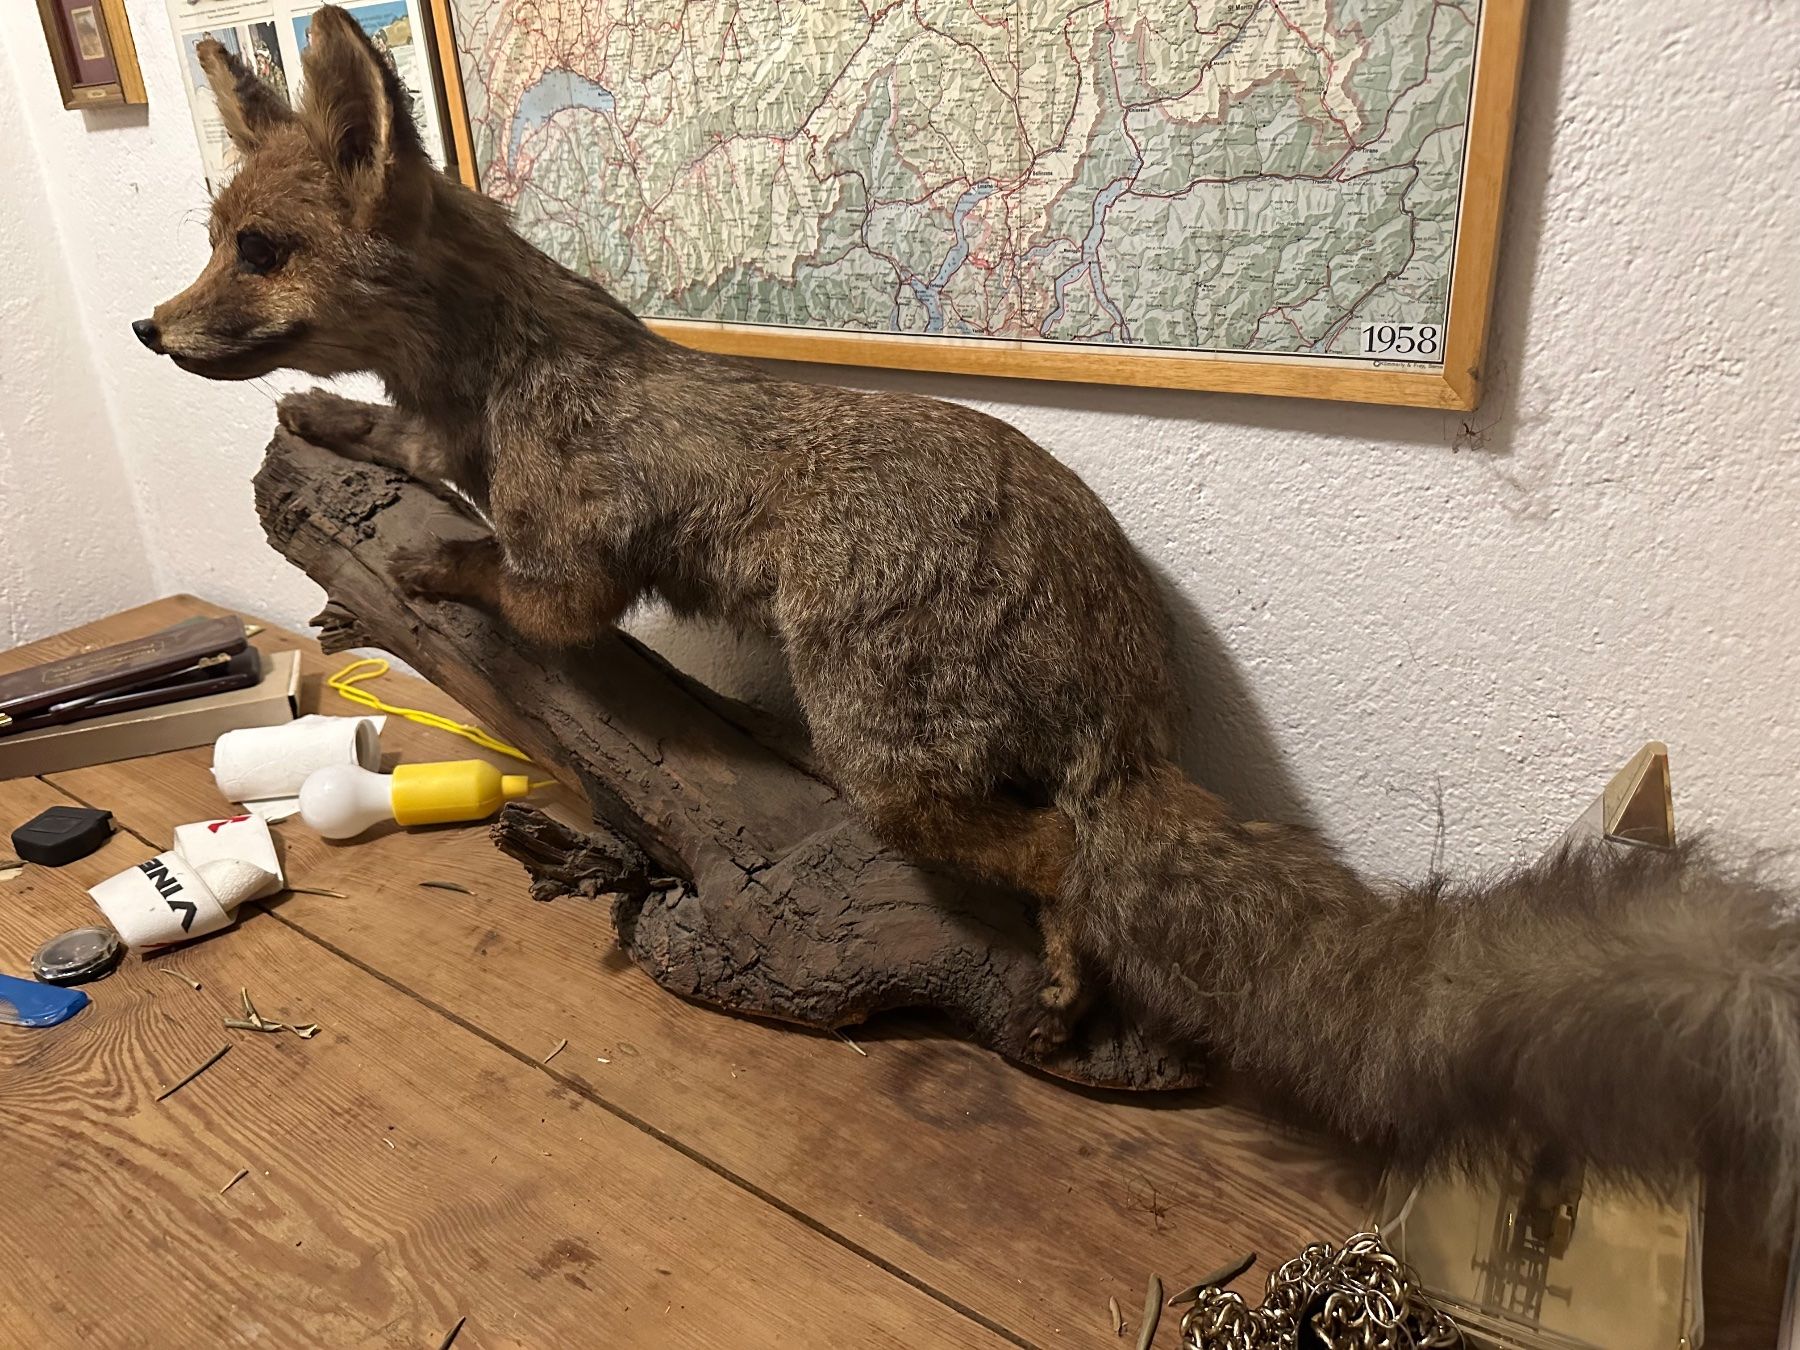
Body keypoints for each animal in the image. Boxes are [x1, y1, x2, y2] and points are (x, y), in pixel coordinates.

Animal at [141, 5, 1799, 1221]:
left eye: (260, 251)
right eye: (211, 231)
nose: (150, 327)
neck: (504, 369)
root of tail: (1133, 689)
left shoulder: (576, 566)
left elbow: (513, 575)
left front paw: (428, 567)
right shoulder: (452, 438)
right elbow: (397, 444)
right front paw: (327, 429)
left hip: (891, 757)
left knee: (1062, 856)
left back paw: (1063, 978)